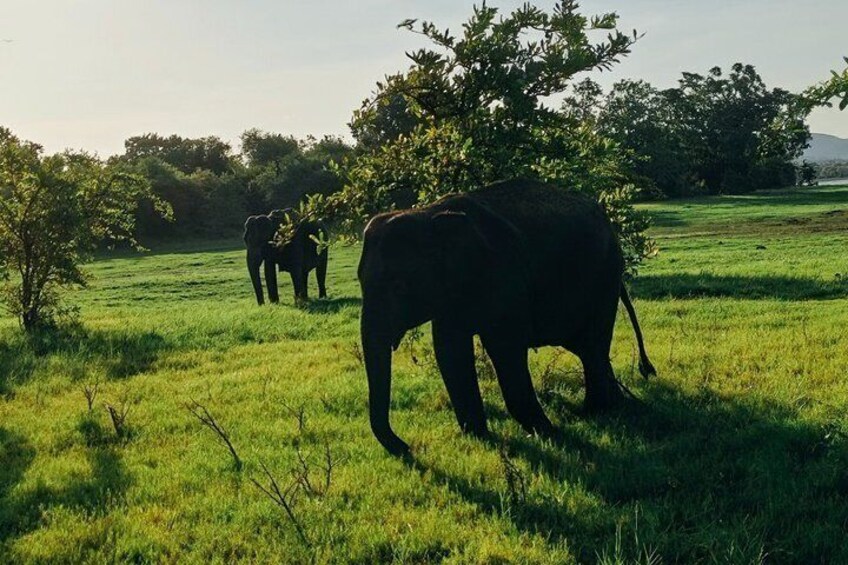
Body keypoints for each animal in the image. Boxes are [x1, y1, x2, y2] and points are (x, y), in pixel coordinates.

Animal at [357, 179, 656, 455]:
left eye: (399, 286)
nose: (407, 447)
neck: (428, 213)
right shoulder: (450, 293)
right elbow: (450, 351)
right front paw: (479, 436)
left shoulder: (505, 274)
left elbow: (505, 348)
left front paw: (547, 433)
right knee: (586, 346)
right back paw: (613, 405)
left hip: (605, 275)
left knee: (593, 342)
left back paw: (596, 411)